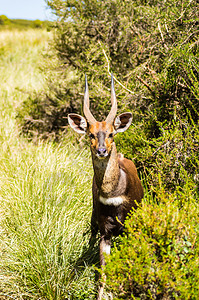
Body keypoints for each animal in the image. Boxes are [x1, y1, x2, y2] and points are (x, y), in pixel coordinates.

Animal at [67, 75, 144, 300]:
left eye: (111, 134)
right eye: (91, 134)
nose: (102, 150)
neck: (115, 195)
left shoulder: (131, 227)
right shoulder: (105, 231)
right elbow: (102, 273)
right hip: (94, 219)